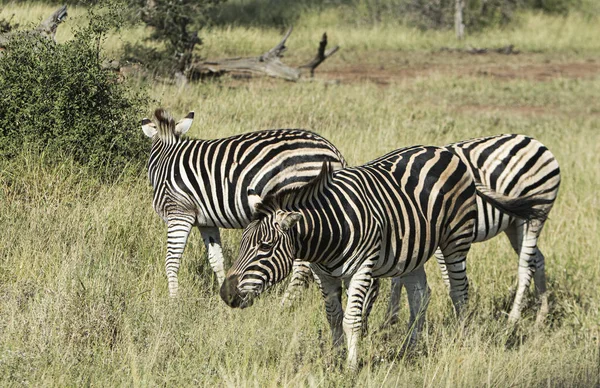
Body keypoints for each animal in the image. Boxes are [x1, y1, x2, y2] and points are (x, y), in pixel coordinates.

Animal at [142, 107, 346, 298]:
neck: (166, 159)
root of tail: (333, 150)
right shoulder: (206, 222)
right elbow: (216, 260)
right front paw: (223, 294)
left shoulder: (178, 213)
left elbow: (172, 260)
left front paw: (173, 300)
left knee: (302, 266)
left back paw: (285, 303)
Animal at [220, 147, 478, 368]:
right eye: (242, 243)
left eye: (265, 247)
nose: (226, 294)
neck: (329, 230)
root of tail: (442, 150)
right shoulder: (322, 273)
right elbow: (333, 317)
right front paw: (335, 359)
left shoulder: (362, 269)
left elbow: (351, 319)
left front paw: (351, 367)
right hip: (412, 251)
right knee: (420, 296)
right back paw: (410, 349)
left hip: (456, 239)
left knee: (459, 292)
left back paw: (461, 339)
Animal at [284, 135, 560, 326]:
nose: (365, 327)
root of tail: (537, 143)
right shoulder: (405, 235)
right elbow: (400, 279)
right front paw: (392, 318)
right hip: (516, 224)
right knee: (537, 259)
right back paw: (541, 316)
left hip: (537, 213)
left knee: (526, 263)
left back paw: (513, 318)